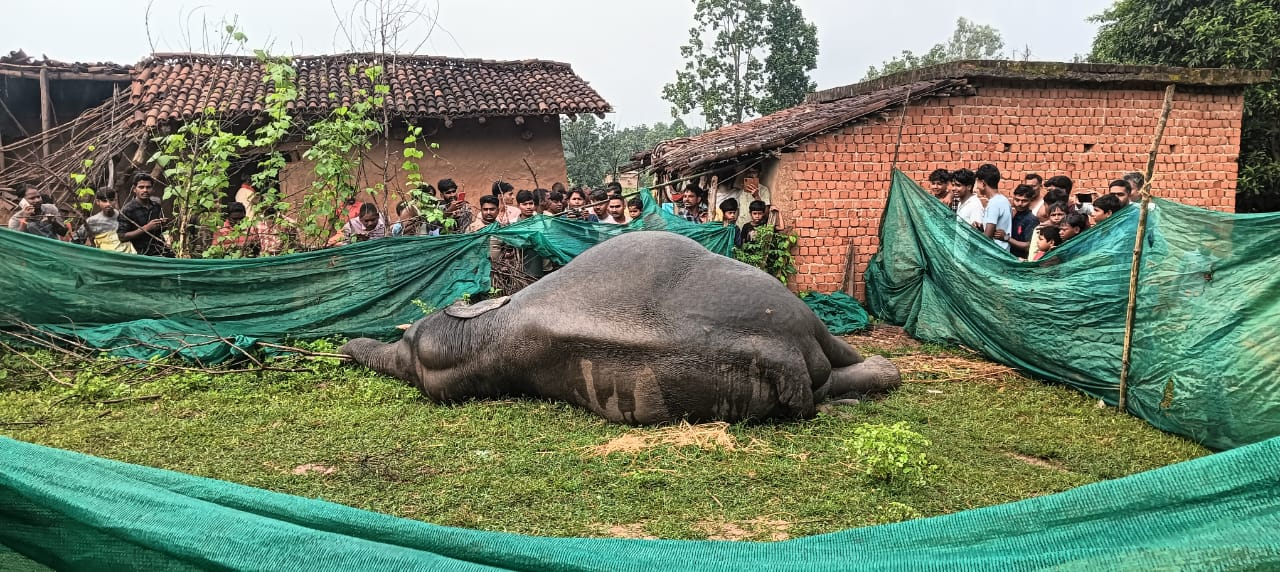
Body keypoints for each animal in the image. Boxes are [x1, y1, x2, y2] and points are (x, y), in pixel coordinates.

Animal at [341, 231, 901, 424]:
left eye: (406, 341)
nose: (349, 346)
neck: (489, 334)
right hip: (786, 318)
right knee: (831, 375)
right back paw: (876, 375)